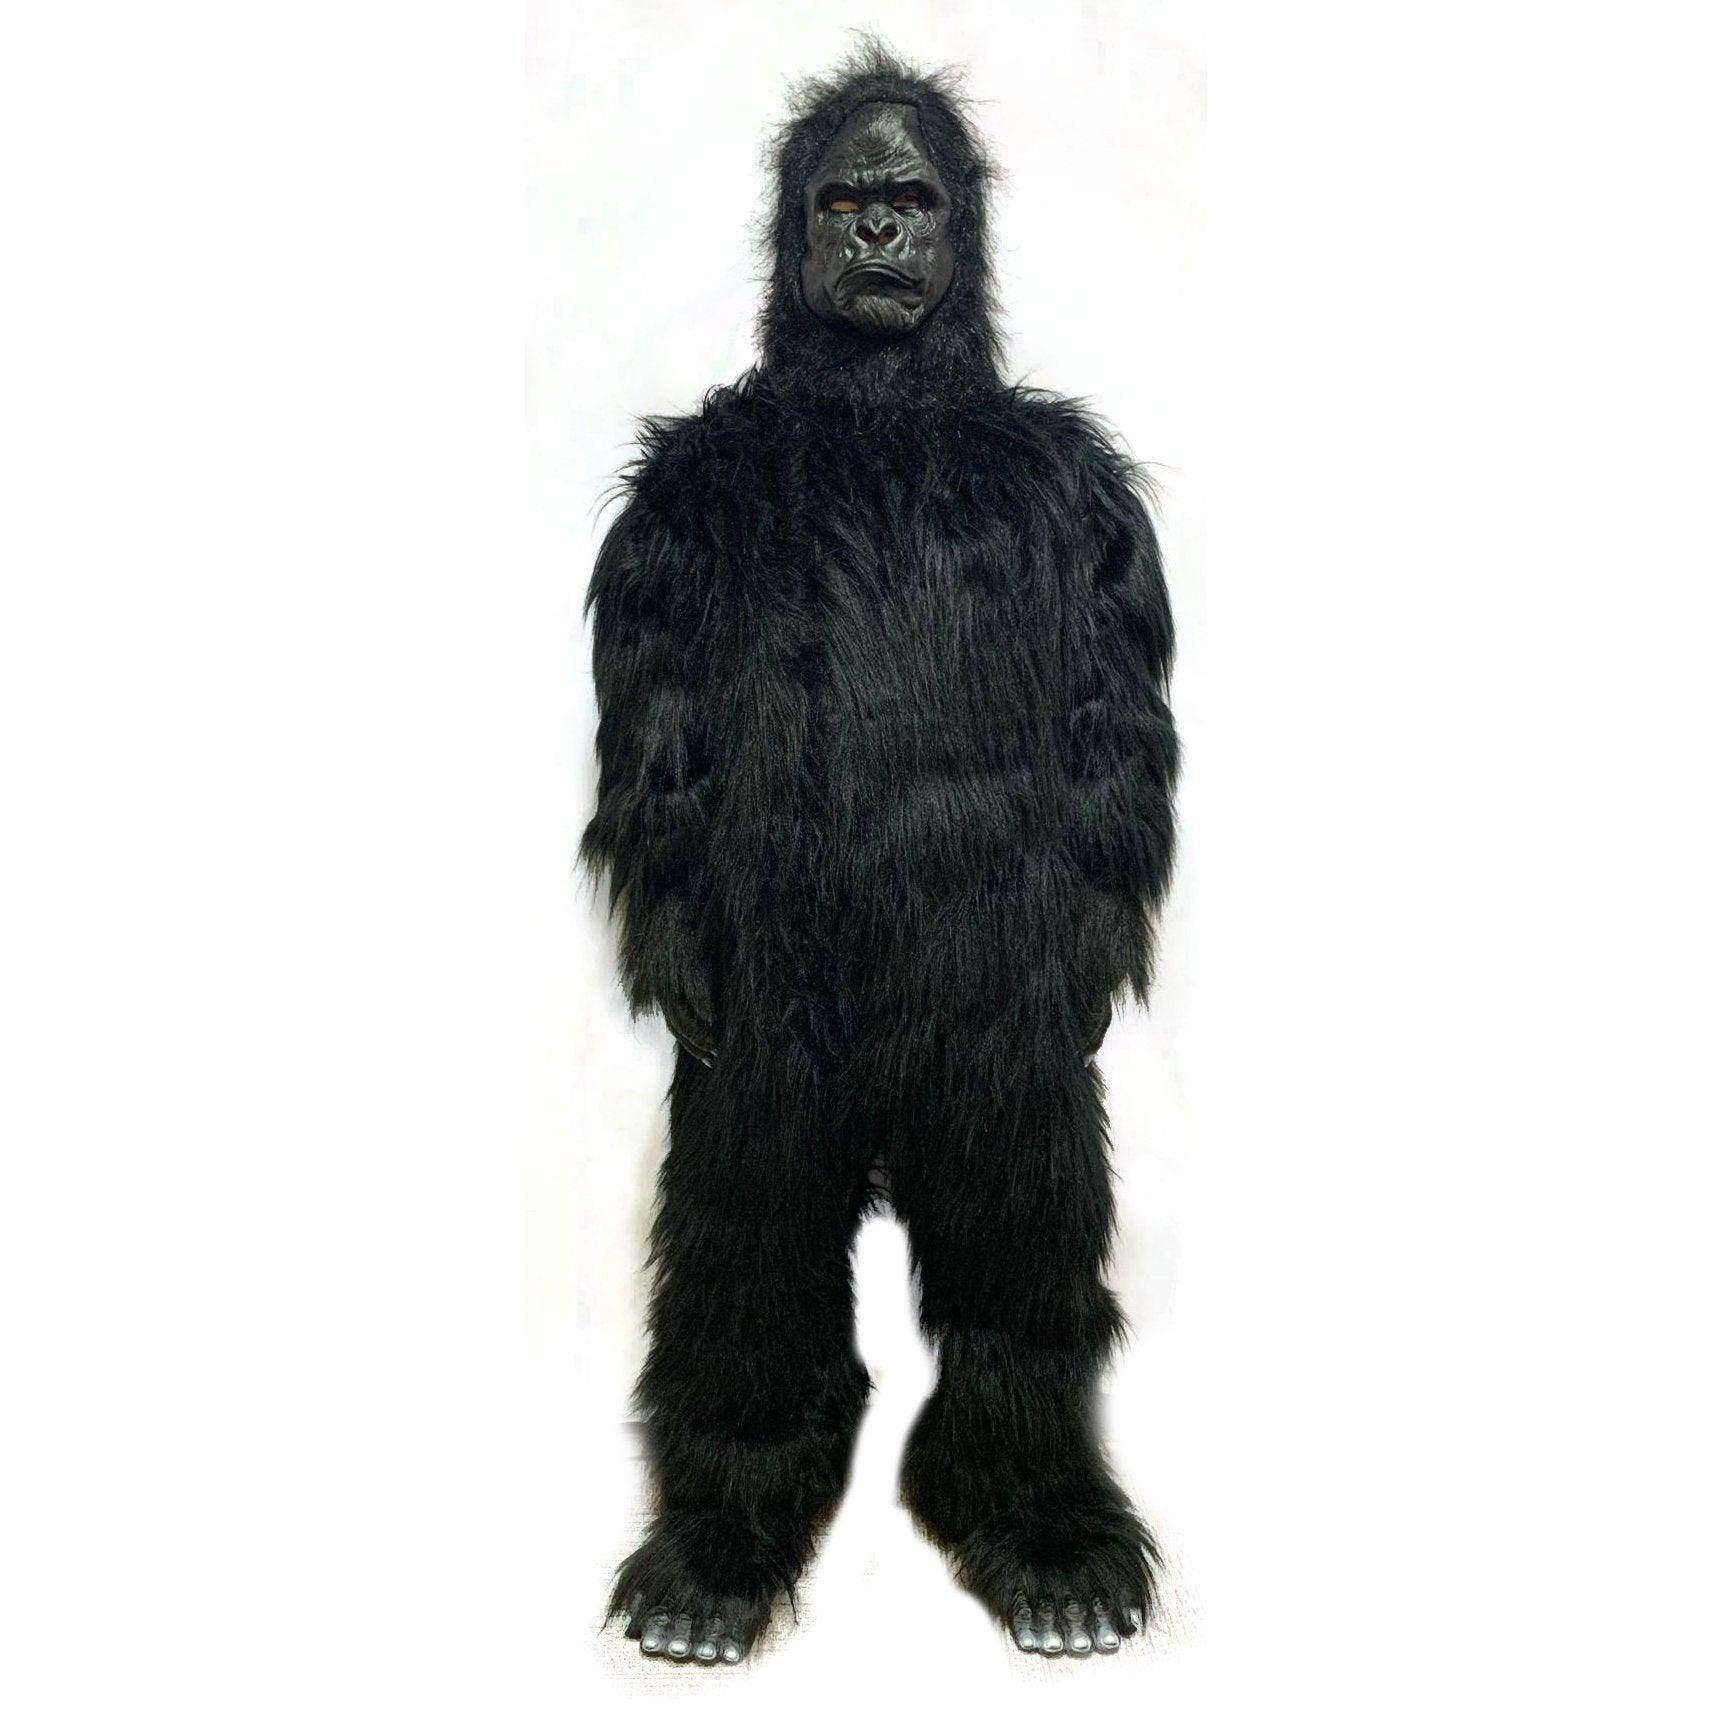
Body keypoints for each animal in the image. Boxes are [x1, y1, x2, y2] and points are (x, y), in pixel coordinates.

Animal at [582, 41, 1178, 1665]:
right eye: (843, 199)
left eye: (907, 195)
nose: (880, 238)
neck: (877, 414)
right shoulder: (664, 530)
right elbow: (655, 734)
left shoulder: (1095, 517)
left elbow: (1114, 724)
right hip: (775, 1053)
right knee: (752, 1225)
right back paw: (715, 1557)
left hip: (995, 1051)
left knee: (1014, 1241)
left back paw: (1046, 1539)